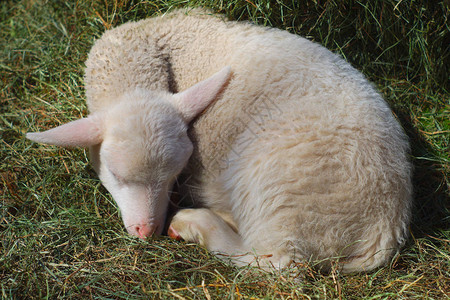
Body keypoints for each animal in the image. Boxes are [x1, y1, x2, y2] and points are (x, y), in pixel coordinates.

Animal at [26, 8, 414, 272]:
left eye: (174, 176)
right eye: (116, 176)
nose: (147, 232)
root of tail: (385, 227)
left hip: (279, 190)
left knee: (273, 262)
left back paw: (192, 224)